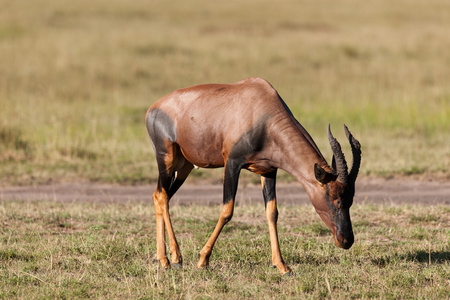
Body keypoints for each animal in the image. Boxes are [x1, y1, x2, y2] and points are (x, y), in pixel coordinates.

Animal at [146, 77, 360, 274]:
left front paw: (282, 265)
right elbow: (227, 211)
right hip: (166, 158)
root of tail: (153, 108)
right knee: (162, 196)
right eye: (335, 199)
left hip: (185, 166)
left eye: (351, 199)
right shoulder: (232, 163)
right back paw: (171, 259)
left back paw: (166, 258)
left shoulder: (268, 170)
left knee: (159, 196)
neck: (262, 111)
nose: (346, 240)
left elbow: (272, 213)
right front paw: (203, 260)